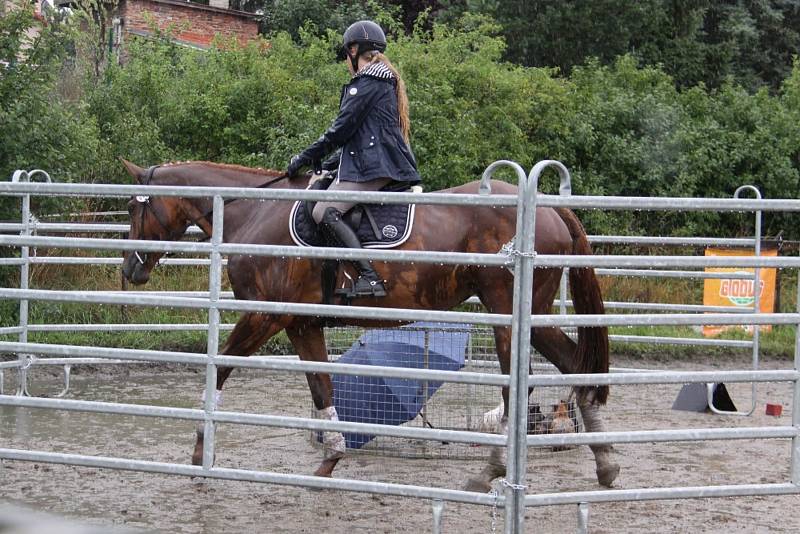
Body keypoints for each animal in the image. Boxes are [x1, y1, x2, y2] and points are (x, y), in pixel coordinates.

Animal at [119, 160, 620, 494]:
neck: (254, 211)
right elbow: (321, 387)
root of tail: (551, 211)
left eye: (132, 208)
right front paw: (330, 460)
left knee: (522, 385)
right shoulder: (302, 325)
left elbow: (219, 367)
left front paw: (200, 452)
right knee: (575, 365)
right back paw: (605, 464)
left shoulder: (264, 315)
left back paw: (491, 471)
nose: (130, 269)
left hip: (508, 315)